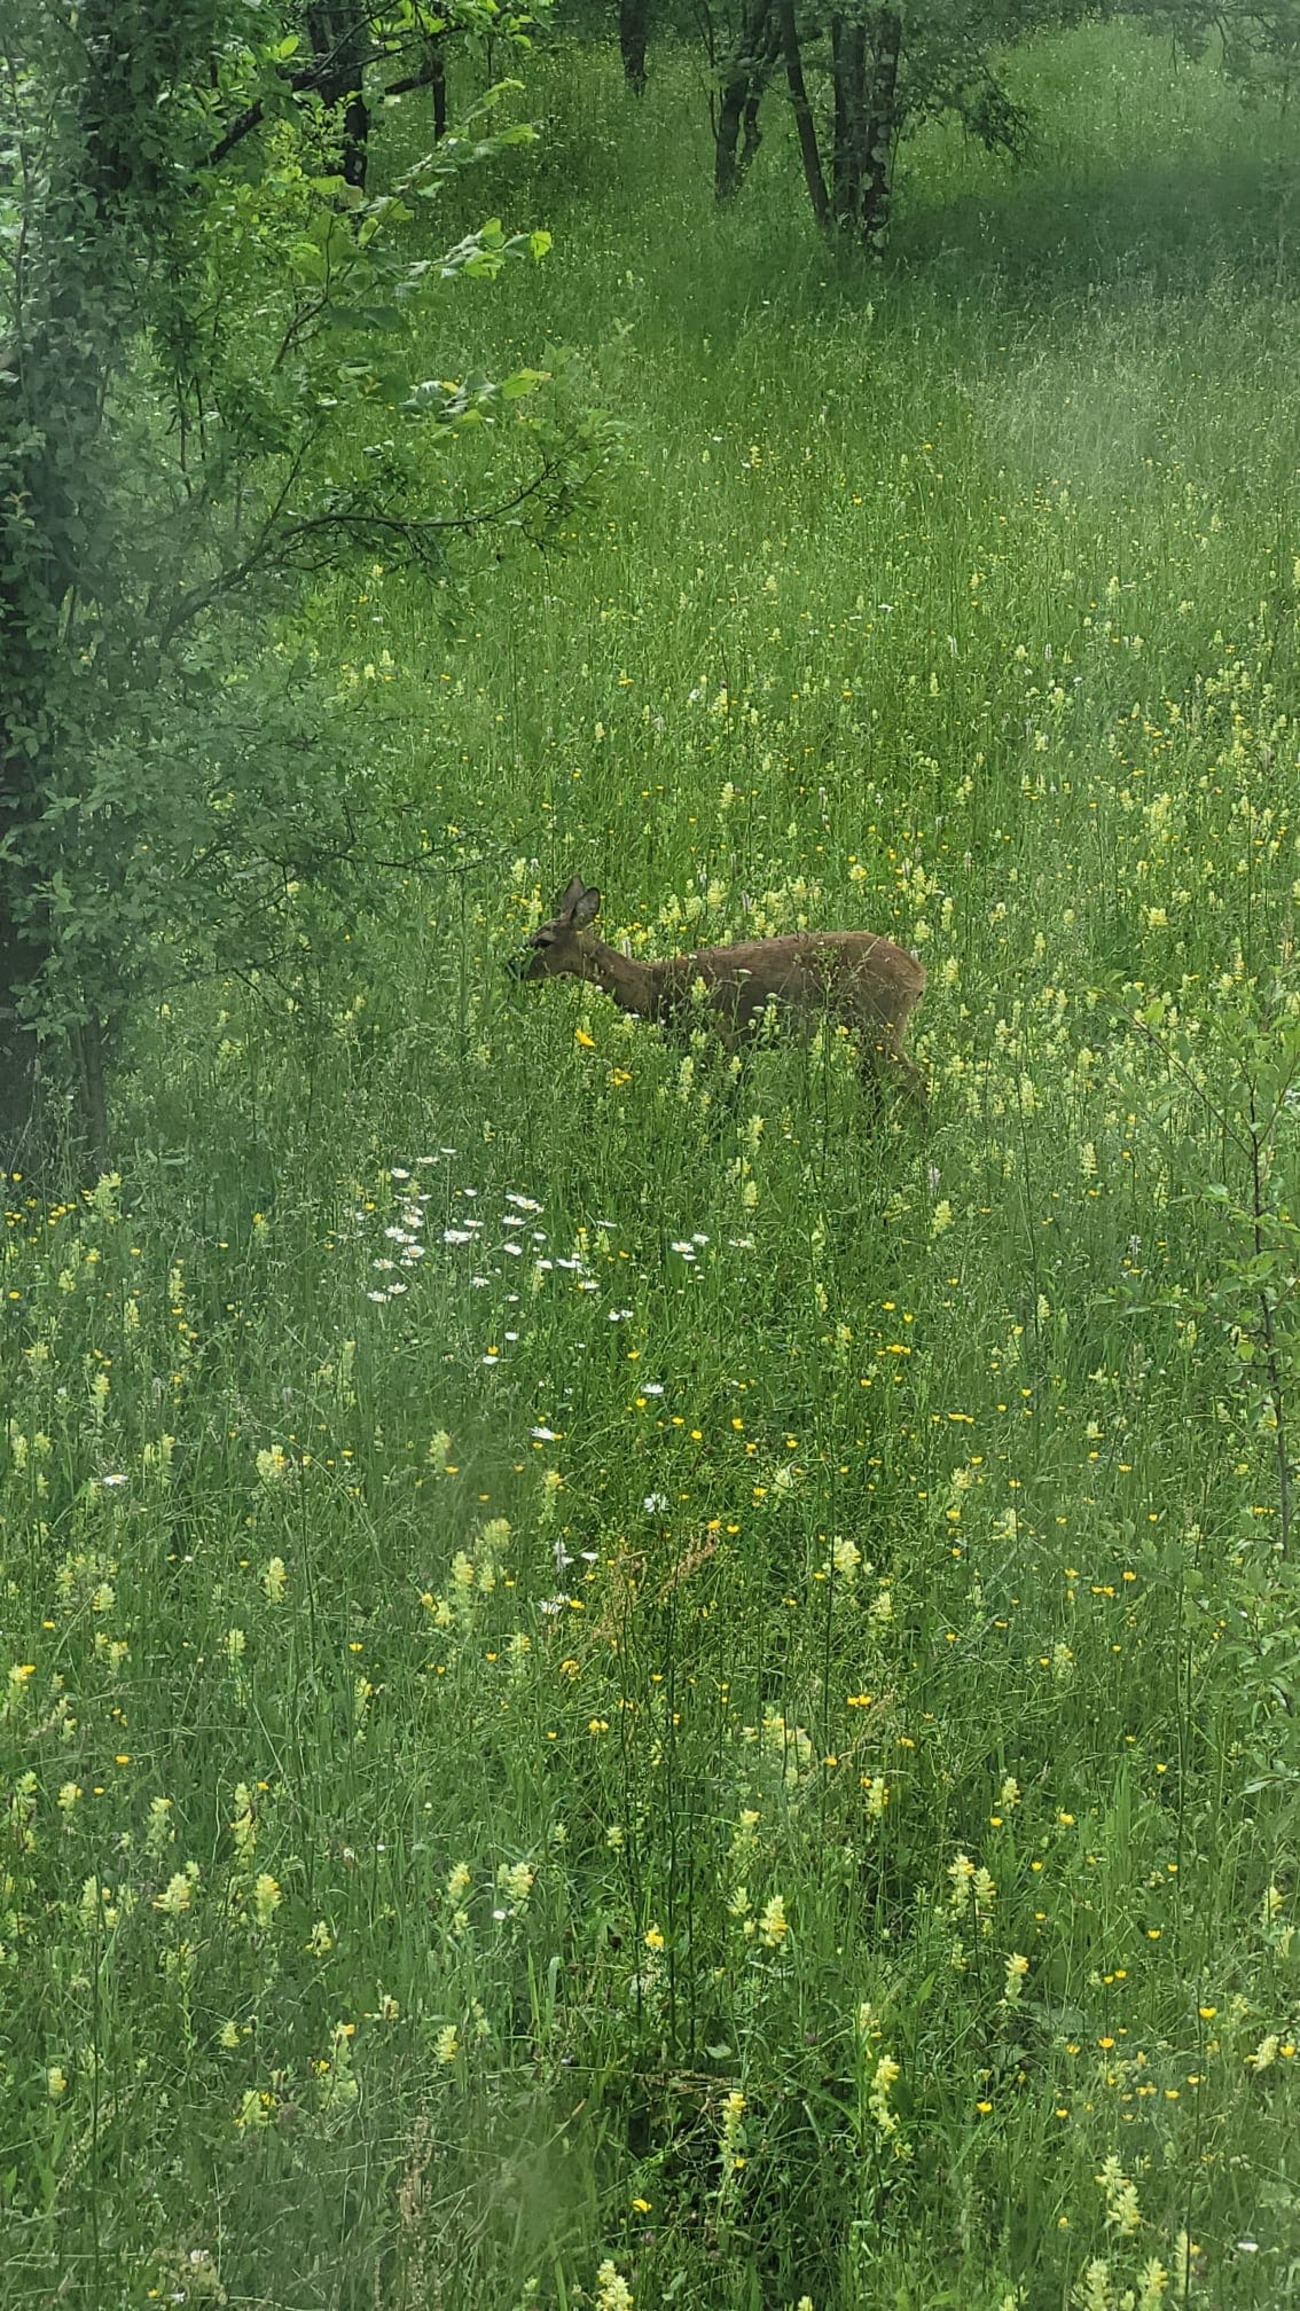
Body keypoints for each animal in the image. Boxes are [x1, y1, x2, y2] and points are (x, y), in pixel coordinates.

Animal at [514, 873, 932, 1109]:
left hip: (879, 1023)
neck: (655, 987)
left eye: (544, 941)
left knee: (916, 1079)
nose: (510, 966)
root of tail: (919, 974)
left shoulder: (723, 1038)